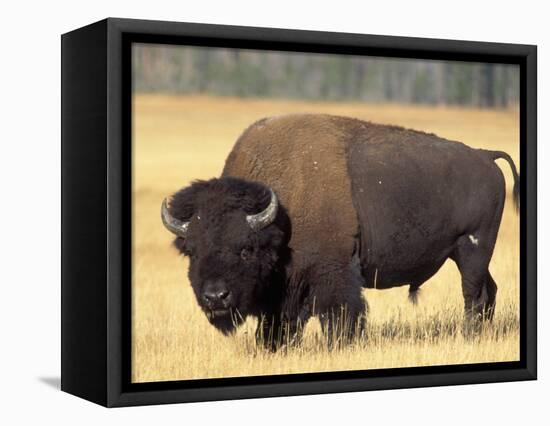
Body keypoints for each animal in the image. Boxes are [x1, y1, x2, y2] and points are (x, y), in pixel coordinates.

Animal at [161, 114, 520, 350]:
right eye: (191, 251)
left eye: (246, 249)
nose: (215, 297)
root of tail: (485, 156)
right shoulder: (285, 290)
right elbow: (280, 322)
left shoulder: (333, 273)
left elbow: (339, 314)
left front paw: (342, 344)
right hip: (468, 254)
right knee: (489, 290)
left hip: (473, 248)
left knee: (473, 294)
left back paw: (469, 335)